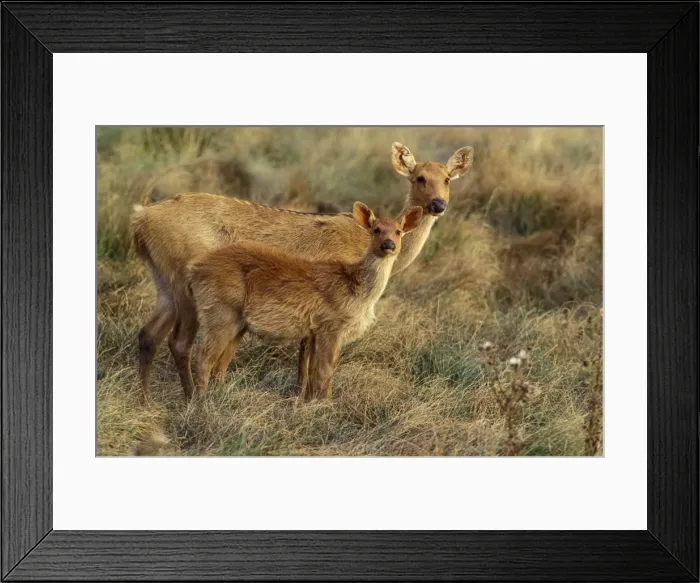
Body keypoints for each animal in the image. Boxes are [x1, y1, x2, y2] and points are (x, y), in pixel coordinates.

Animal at [187, 203, 423, 400]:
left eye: (399, 231)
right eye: (376, 229)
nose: (388, 244)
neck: (356, 291)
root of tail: (195, 269)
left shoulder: (316, 331)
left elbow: (317, 370)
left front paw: (309, 402)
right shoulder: (330, 325)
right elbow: (324, 371)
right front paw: (326, 406)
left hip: (237, 322)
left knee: (220, 363)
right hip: (221, 311)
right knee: (203, 357)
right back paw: (200, 401)